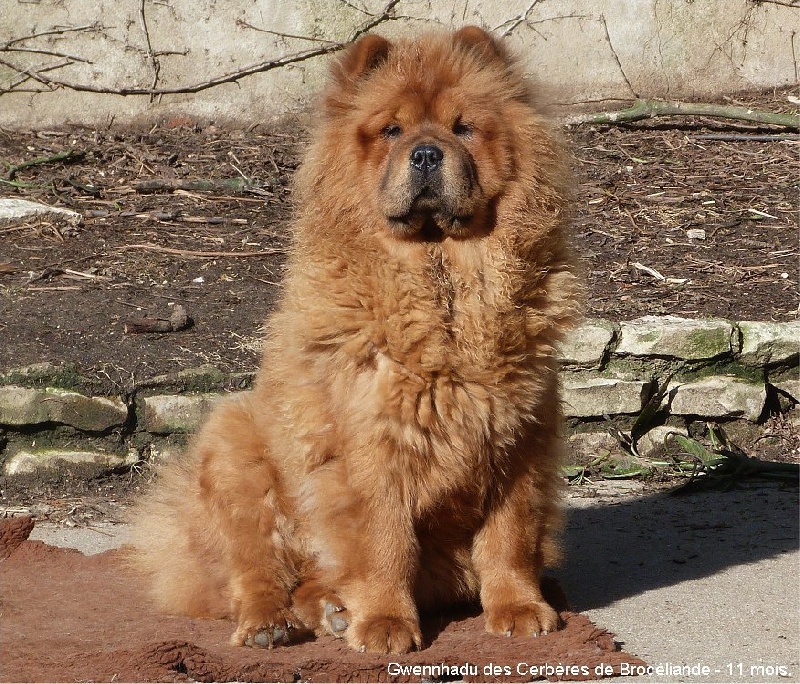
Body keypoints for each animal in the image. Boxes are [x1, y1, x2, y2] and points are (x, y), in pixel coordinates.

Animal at [131, 26, 580, 656]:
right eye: (391, 130)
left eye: (463, 127)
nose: (426, 153)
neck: (442, 284)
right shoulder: (372, 449)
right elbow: (382, 544)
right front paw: (385, 626)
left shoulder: (518, 441)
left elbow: (509, 538)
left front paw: (519, 610)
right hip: (239, 452)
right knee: (255, 570)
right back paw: (277, 623)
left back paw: (330, 608)